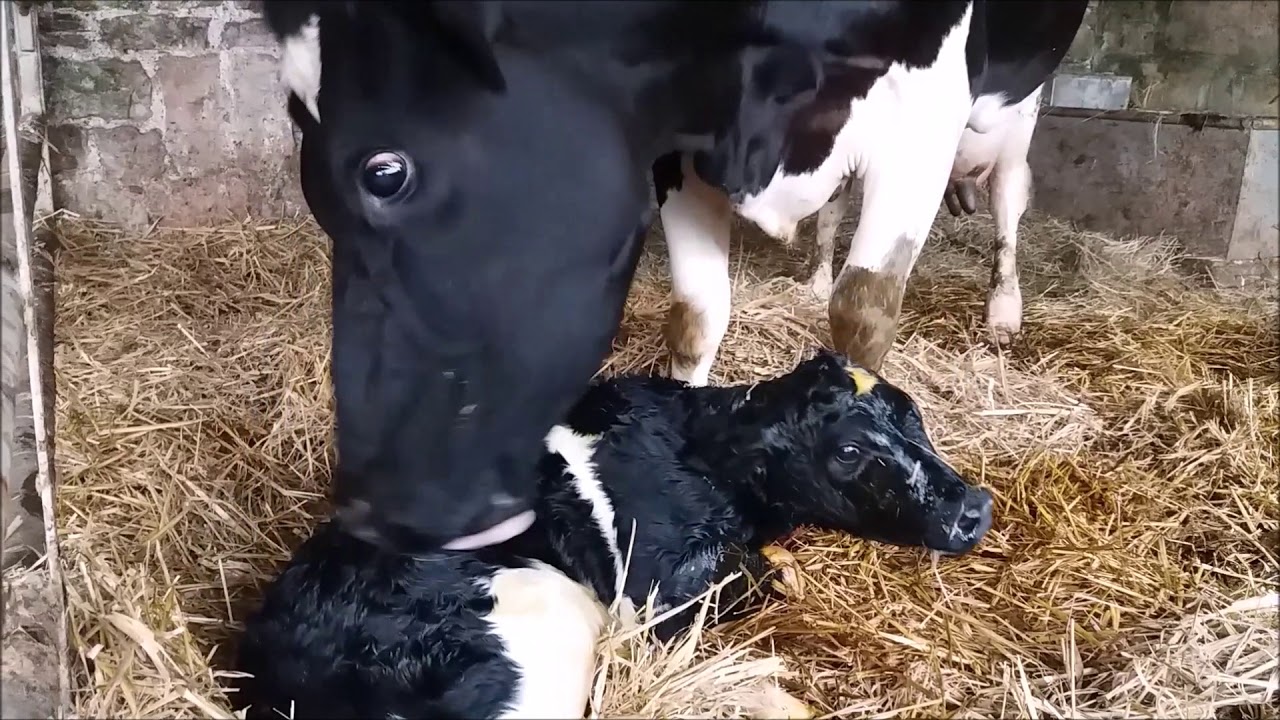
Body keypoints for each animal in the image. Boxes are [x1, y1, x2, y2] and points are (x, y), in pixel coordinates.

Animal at [655, 1, 1088, 386]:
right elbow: (696, 316)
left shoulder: (923, 125)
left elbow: (861, 312)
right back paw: (818, 282)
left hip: (1023, 104)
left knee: (1008, 194)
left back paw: (1003, 311)